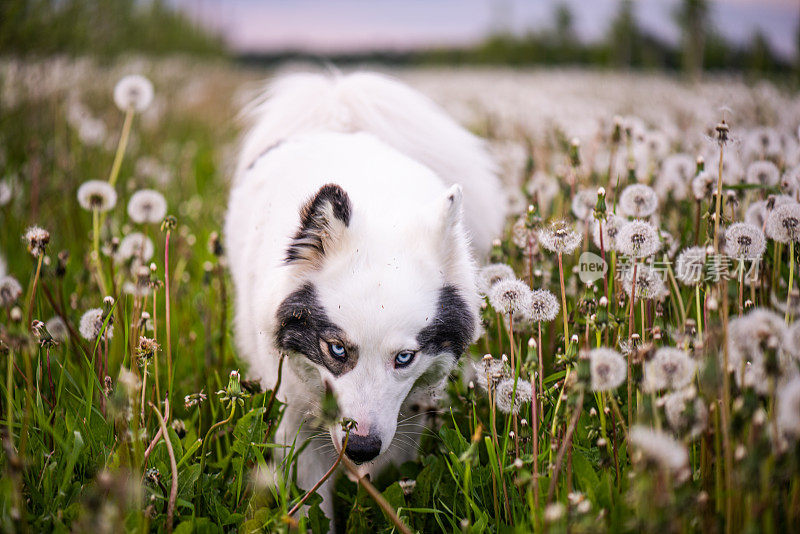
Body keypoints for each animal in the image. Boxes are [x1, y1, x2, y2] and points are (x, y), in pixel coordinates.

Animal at [225, 71, 504, 520]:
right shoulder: (298, 423)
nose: (361, 448)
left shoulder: (407, 421)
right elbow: (310, 505)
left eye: (404, 358)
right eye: (336, 350)